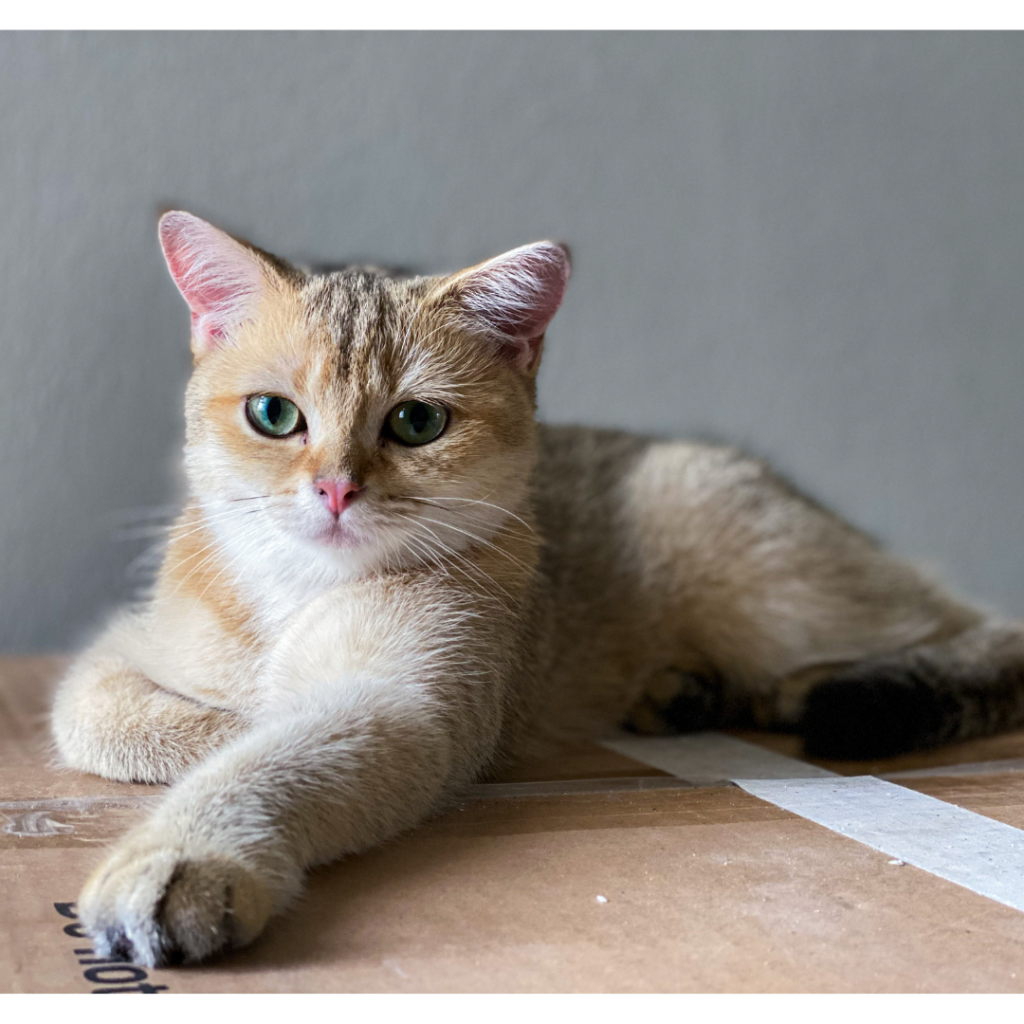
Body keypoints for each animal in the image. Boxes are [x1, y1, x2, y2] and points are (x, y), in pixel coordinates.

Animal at [51, 209, 1024, 966]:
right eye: (273, 415)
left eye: (417, 422)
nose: (335, 490)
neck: (303, 591)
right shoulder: (114, 658)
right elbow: (119, 721)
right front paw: (228, 723)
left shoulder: (407, 706)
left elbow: (272, 753)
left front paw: (183, 858)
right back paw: (689, 693)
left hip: (766, 577)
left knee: (974, 627)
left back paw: (808, 689)